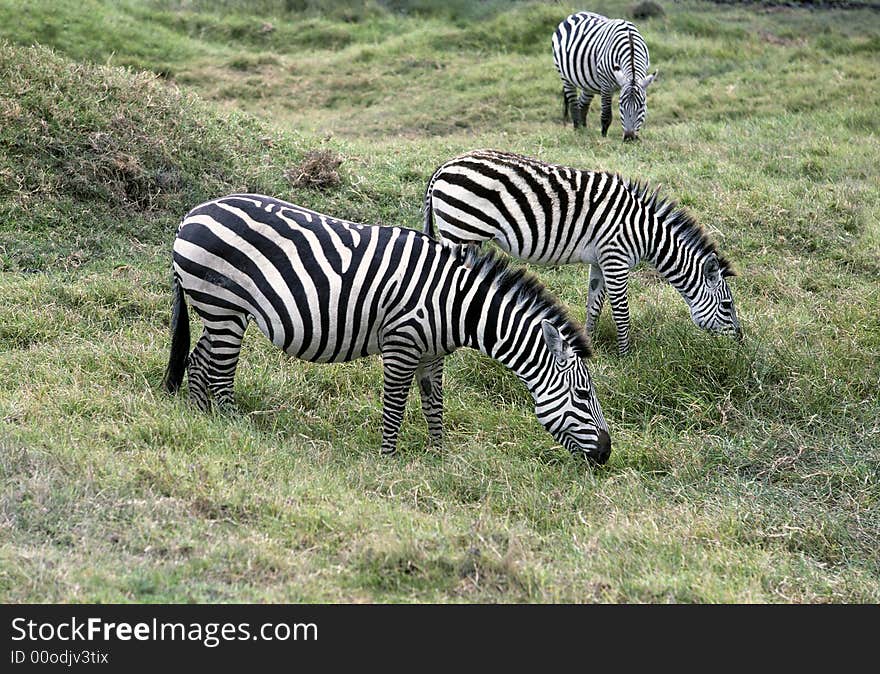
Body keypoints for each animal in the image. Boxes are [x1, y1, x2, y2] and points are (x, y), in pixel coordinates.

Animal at [162, 192, 612, 460]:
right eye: (583, 394)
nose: (607, 454)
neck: (457, 305)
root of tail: (192, 215)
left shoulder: (433, 354)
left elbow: (434, 405)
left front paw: (438, 458)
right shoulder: (402, 344)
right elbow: (395, 406)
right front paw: (389, 461)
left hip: (217, 311)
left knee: (199, 362)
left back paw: (202, 419)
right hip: (224, 307)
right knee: (219, 373)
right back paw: (233, 427)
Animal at [422, 149, 740, 354]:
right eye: (727, 306)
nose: (740, 344)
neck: (644, 232)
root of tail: (443, 167)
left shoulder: (600, 261)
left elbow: (594, 304)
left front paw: (589, 343)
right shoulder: (615, 257)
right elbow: (621, 311)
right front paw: (627, 357)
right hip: (461, 231)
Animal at [552, 10, 656, 140]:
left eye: (642, 106)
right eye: (621, 105)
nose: (629, 138)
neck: (630, 41)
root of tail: (576, 14)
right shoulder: (606, 84)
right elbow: (606, 115)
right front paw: (603, 138)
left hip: (588, 82)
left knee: (583, 104)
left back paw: (584, 131)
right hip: (565, 76)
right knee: (573, 104)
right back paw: (577, 131)